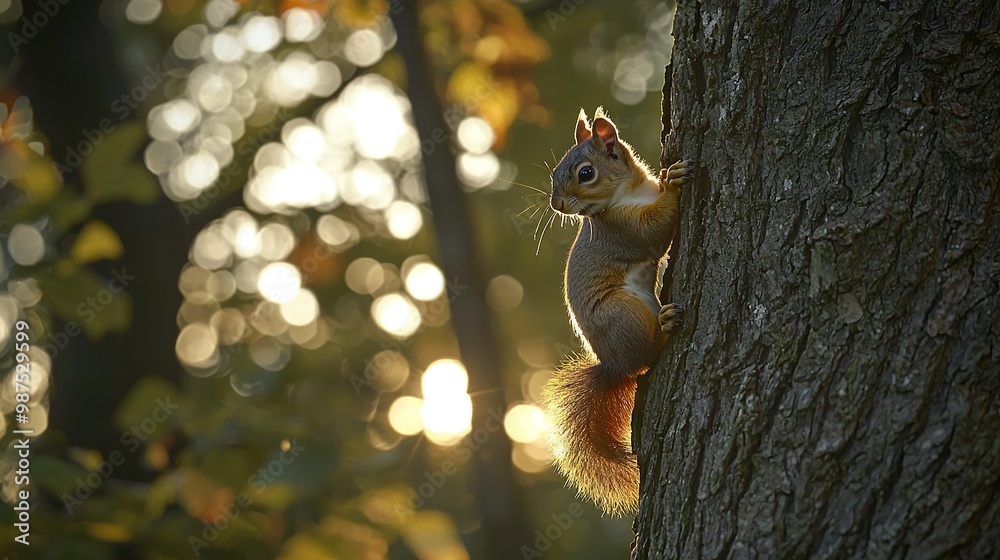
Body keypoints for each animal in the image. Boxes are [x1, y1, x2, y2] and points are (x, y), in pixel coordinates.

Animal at [544, 107, 692, 516]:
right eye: (554, 173)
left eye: (584, 173)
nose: (557, 205)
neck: (629, 192)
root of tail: (614, 365)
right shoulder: (621, 229)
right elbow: (653, 232)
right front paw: (674, 183)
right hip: (625, 314)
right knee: (648, 355)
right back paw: (665, 328)